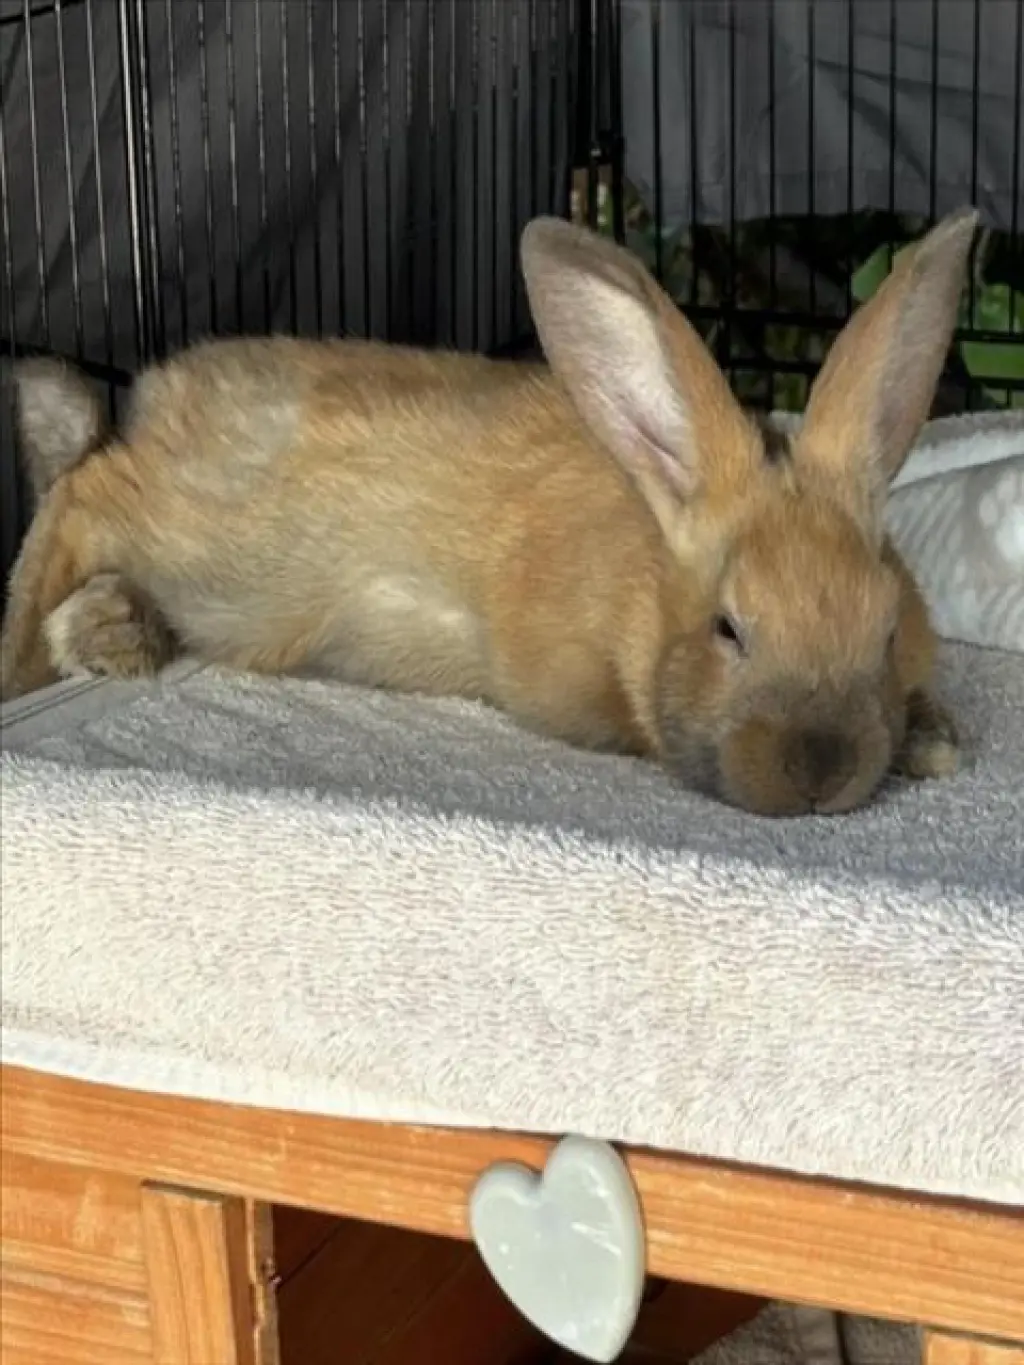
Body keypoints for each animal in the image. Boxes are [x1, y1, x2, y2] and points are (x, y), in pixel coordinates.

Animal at [0, 209, 976, 815]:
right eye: (729, 629)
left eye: (887, 630)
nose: (820, 770)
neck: (645, 573)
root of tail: (154, 396)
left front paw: (934, 741)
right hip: (211, 547)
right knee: (78, 496)